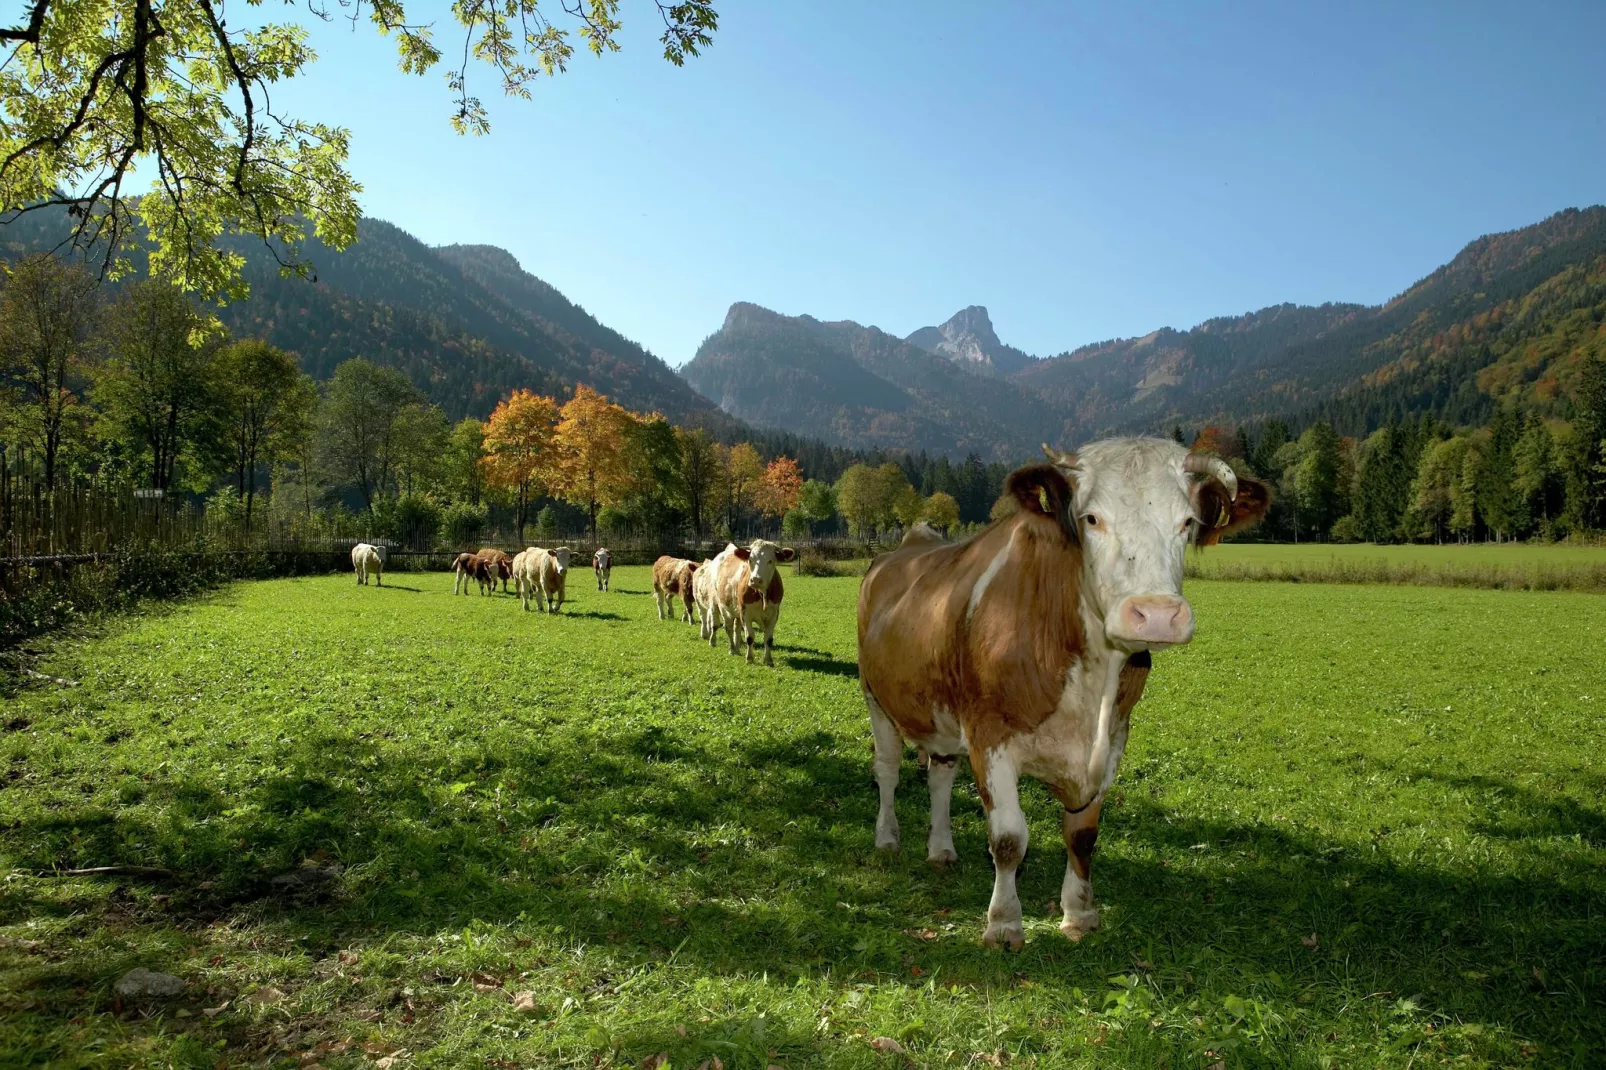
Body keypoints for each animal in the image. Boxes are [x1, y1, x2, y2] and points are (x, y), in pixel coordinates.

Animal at [854, 436, 1265, 944]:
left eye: (1187, 522)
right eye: (1091, 518)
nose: (1157, 615)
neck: (1092, 689)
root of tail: (905, 545)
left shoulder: (1113, 740)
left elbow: (1082, 836)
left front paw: (1079, 914)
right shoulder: (990, 735)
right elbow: (1008, 838)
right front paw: (1003, 923)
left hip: (943, 714)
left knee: (940, 775)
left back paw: (942, 848)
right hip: (875, 696)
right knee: (887, 771)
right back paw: (887, 838)